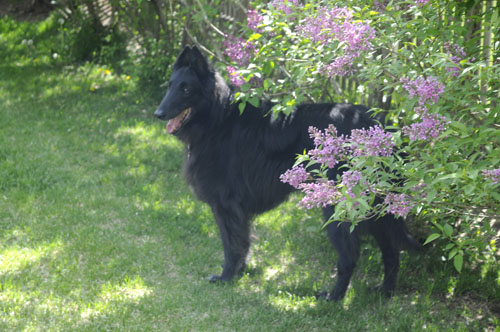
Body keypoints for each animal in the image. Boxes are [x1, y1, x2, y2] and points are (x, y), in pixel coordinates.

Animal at [154, 45, 420, 302]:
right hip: (376, 211)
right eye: (170, 86)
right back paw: (385, 292)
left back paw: (334, 297)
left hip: (338, 209)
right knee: (391, 252)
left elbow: (231, 245)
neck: (217, 119)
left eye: (186, 89)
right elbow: (243, 242)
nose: (158, 113)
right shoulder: (238, 210)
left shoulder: (225, 206)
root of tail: (385, 128)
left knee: (349, 257)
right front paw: (240, 272)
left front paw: (226, 277)